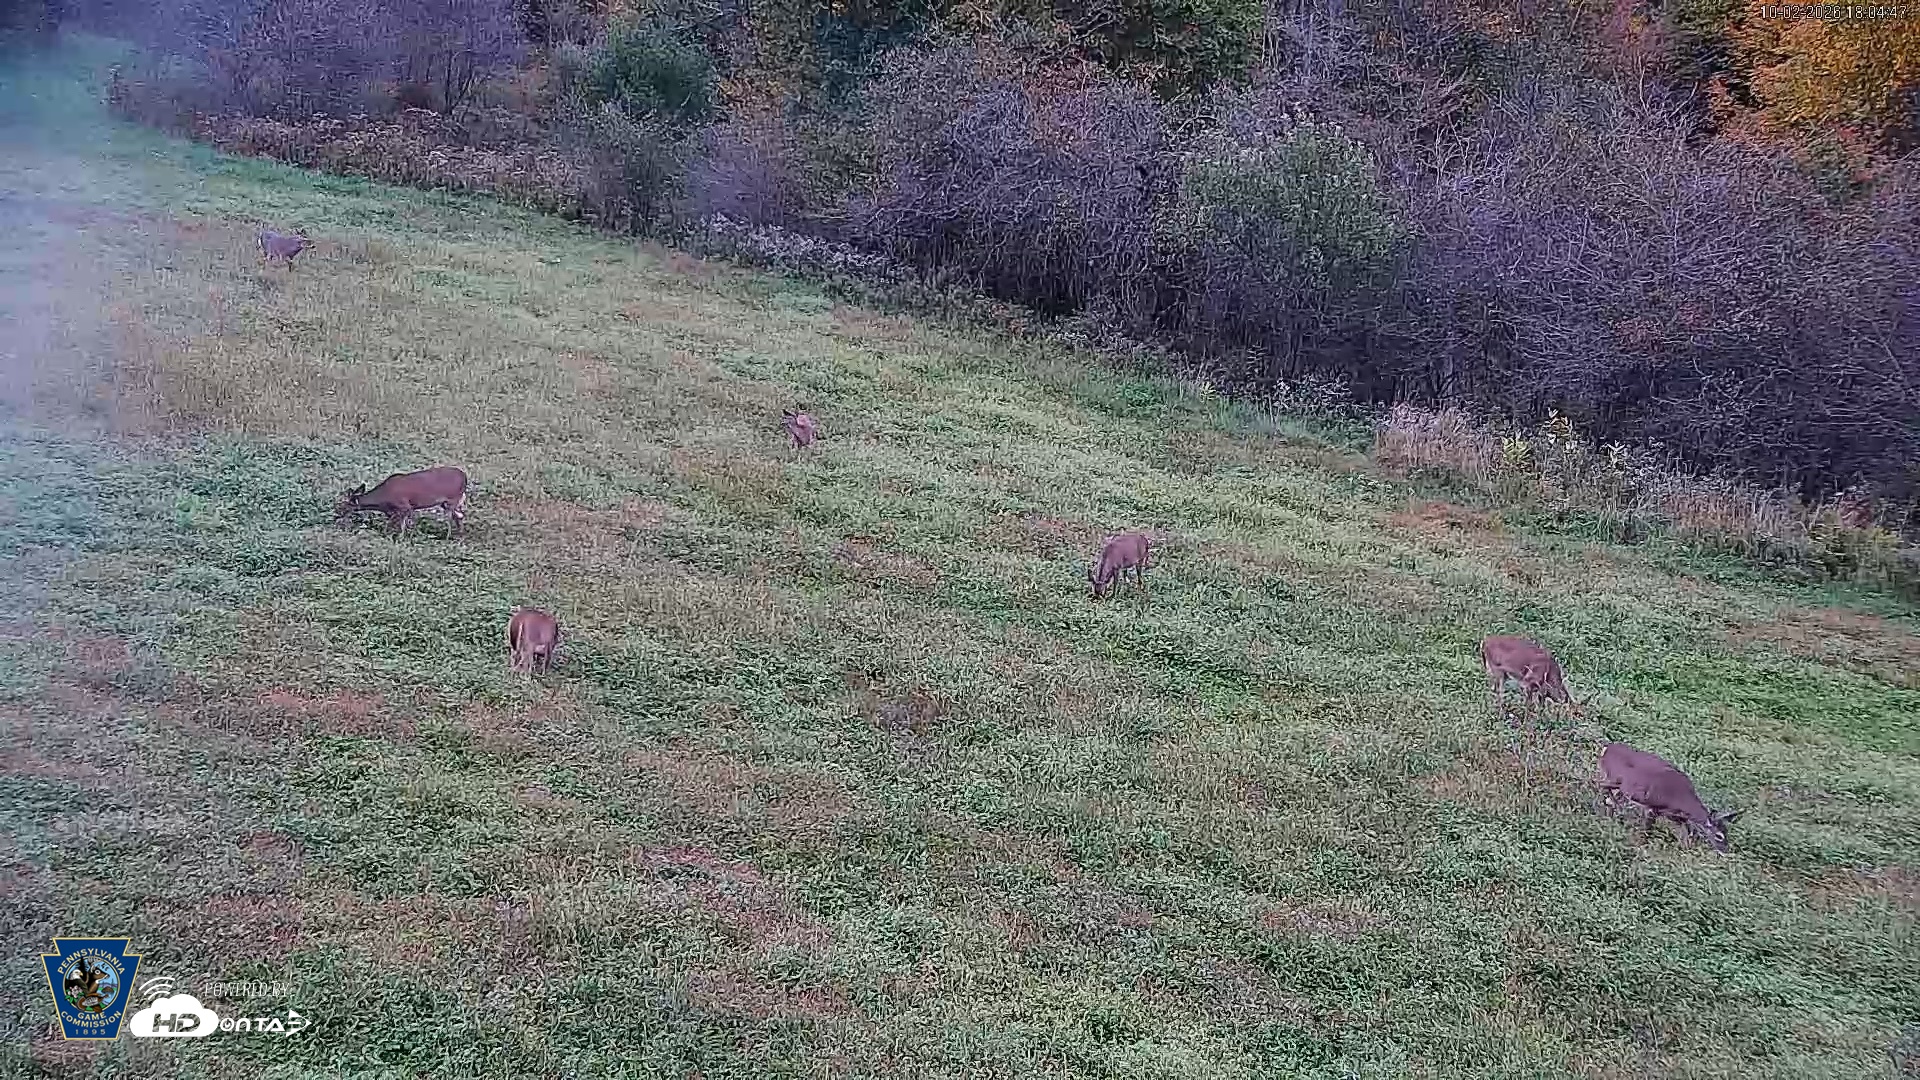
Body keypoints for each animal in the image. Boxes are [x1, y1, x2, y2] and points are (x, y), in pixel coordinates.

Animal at [336, 466, 468, 538]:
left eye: (344, 505)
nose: (337, 512)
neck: (383, 500)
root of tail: (465, 476)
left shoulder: (405, 506)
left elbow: (399, 525)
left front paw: (399, 537)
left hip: (452, 498)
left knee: (452, 517)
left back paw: (448, 536)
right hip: (448, 502)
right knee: (460, 515)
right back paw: (460, 534)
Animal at [1596, 741, 1743, 852]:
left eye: (1727, 833)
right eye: (1719, 836)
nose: (1725, 851)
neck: (1683, 802)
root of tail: (1607, 747)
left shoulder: (1675, 817)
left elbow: (1686, 835)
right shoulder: (1652, 806)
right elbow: (1647, 830)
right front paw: (1641, 845)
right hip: (1615, 778)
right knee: (1599, 784)